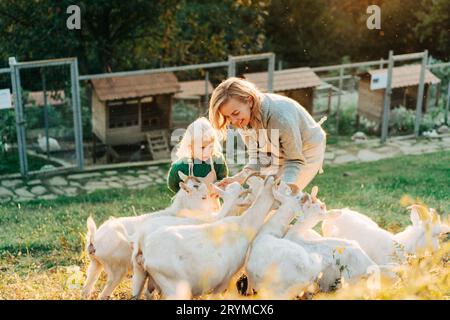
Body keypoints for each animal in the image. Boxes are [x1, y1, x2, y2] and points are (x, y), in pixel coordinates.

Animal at [83, 171, 221, 298]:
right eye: (203, 197)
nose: (216, 208)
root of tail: (94, 240)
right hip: (116, 270)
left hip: (95, 264)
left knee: (87, 288)